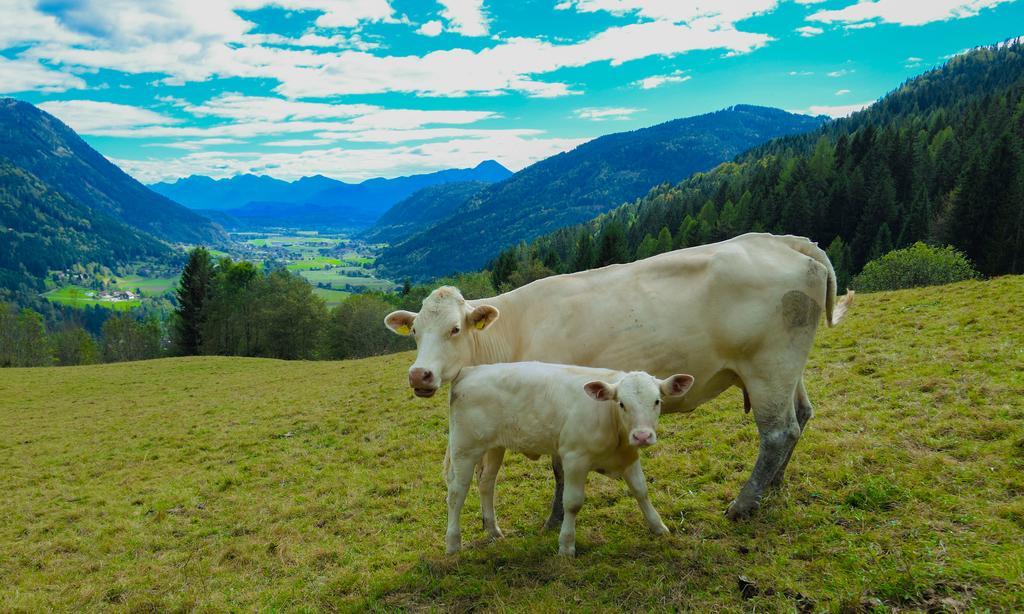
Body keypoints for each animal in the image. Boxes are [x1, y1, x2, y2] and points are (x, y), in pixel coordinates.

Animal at [387, 234, 851, 521]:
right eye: (415, 333)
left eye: (455, 329)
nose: (419, 374)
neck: (514, 332)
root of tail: (782, 240)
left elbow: (559, 469)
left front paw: (554, 519)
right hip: (785, 369)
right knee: (801, 417)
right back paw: (773, 488)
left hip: (768, 365)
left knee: (777, 432)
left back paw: (744, 503)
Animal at [444, 362, 692, 560]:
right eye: (621, 403)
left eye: (657, 401)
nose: (642, 436)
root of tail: (470, 370)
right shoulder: (574, 458)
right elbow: (572, 502)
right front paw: (566, 546)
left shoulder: (629, 458)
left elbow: (641, 490)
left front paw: (658, 526)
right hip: (464, 449)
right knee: (457, 493)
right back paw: (453, 543)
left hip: (494, 446)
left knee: (487, 483)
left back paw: (493, 531)